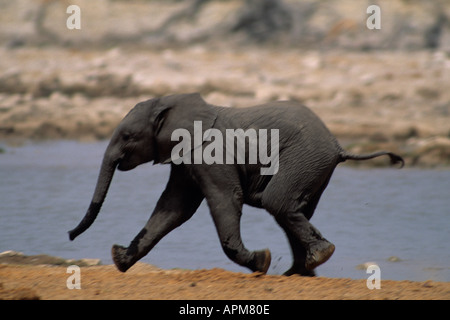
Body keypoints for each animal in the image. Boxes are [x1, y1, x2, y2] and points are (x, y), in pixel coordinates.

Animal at [67, 92, 404, 276]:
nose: (69, 234)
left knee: (277, 202)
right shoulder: (185, 157)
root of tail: (337, 144)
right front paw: (120, 260)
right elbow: (173, 208)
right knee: (293, 210)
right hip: (313, 165)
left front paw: (261, 262)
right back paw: (299, 272)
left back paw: (315, 258)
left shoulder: (209, 154)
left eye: (127, 136)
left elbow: (224, 198)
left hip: (305, 158)